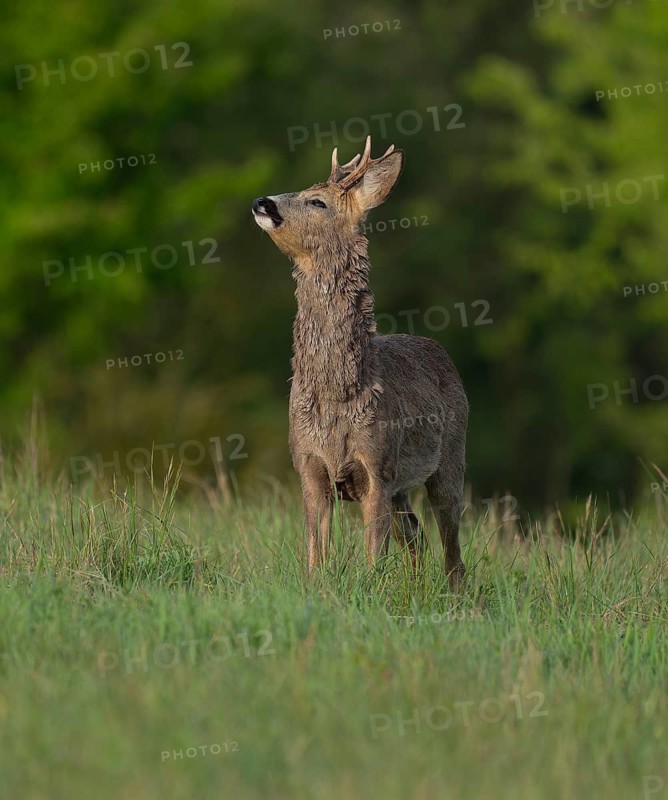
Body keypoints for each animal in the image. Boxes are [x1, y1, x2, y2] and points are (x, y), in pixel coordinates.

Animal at [252, 136, 468, 590]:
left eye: (316, 201)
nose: (262, 201)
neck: (339, 394)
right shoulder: (308, 466)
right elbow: (316, 553)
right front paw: (317, 589)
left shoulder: (378, 468)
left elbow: (374, 554)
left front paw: (370, 591)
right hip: (404, 487)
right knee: (416, 536)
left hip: (450, 458)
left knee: (451, 547)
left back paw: (456, 594)